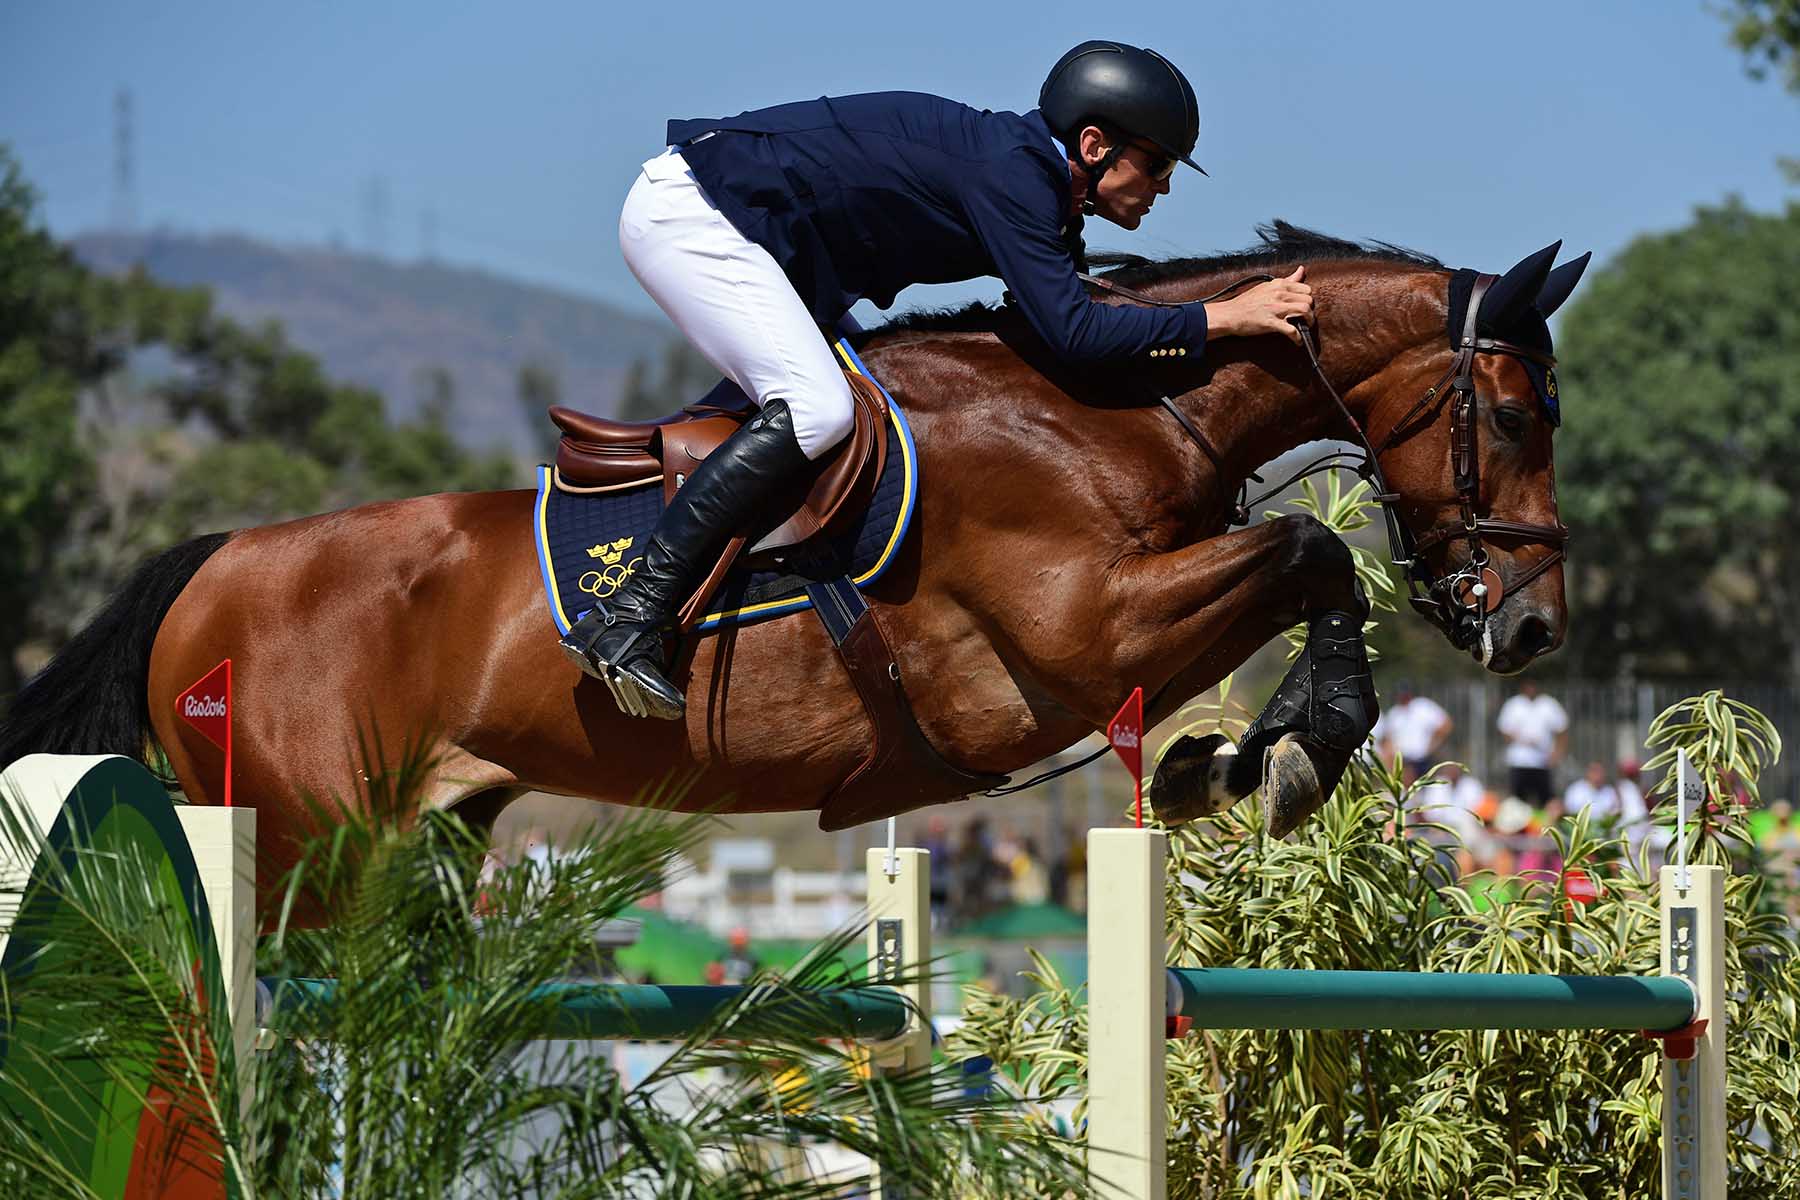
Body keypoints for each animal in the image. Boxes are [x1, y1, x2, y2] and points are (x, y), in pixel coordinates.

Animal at [7, 223, 1598, 899]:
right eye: (1521, 415)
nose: (1532, 631)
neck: (1105, 406)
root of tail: (213, 564)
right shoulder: (1074, 638)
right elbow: (1307, 553)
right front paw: (1289, 754)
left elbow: (1292, 569)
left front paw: (1232, 757)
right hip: (310, 840)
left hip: (433, 827)